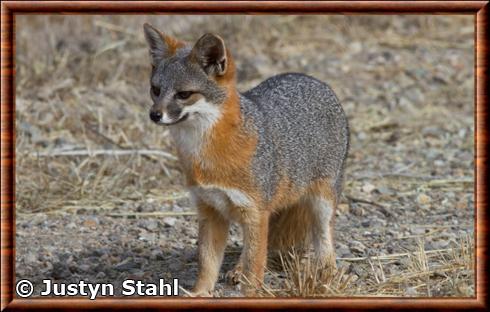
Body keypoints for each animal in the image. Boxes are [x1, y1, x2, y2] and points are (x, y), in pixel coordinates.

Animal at [144, 23, 350, 296]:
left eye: (184, 94)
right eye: (155, 90)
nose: (154, 115)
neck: (206, 154)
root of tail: (312, 79)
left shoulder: (255, 212)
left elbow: (256, 264)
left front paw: (251, 294)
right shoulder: (210, 210)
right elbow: (208, 262)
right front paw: (200, 293)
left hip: (321, 203)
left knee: (325, 239)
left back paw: (326, 275)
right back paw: (238, 269)